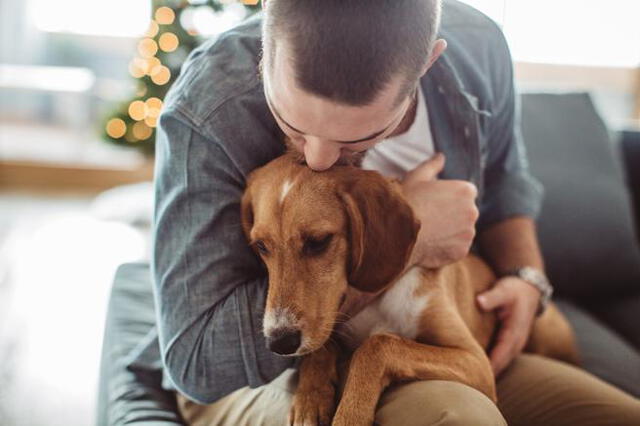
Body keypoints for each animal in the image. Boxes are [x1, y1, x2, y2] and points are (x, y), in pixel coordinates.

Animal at [240, 152, 580, 426]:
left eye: (319, 241)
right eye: (261, 246)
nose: (279, 342)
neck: (377, 301)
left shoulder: (476, 360)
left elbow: (378, 345)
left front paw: (350, 414)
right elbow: (322, 347)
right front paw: (310, 399)